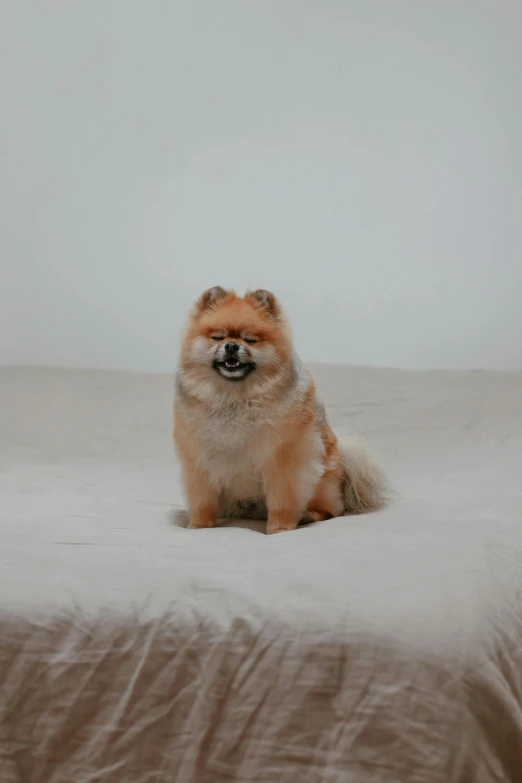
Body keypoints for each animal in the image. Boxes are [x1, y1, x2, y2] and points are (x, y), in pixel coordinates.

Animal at [173, 288, 384, 532]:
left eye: (250, 339)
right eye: (218, 337)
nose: (231, 346)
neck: (235, 396)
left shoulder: (282, 457)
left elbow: (282, 498)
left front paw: (279, 528)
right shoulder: (199, 459)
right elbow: (202, 500)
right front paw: (199, 526)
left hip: (322, 482)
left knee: (331, 510)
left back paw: (308, 515)